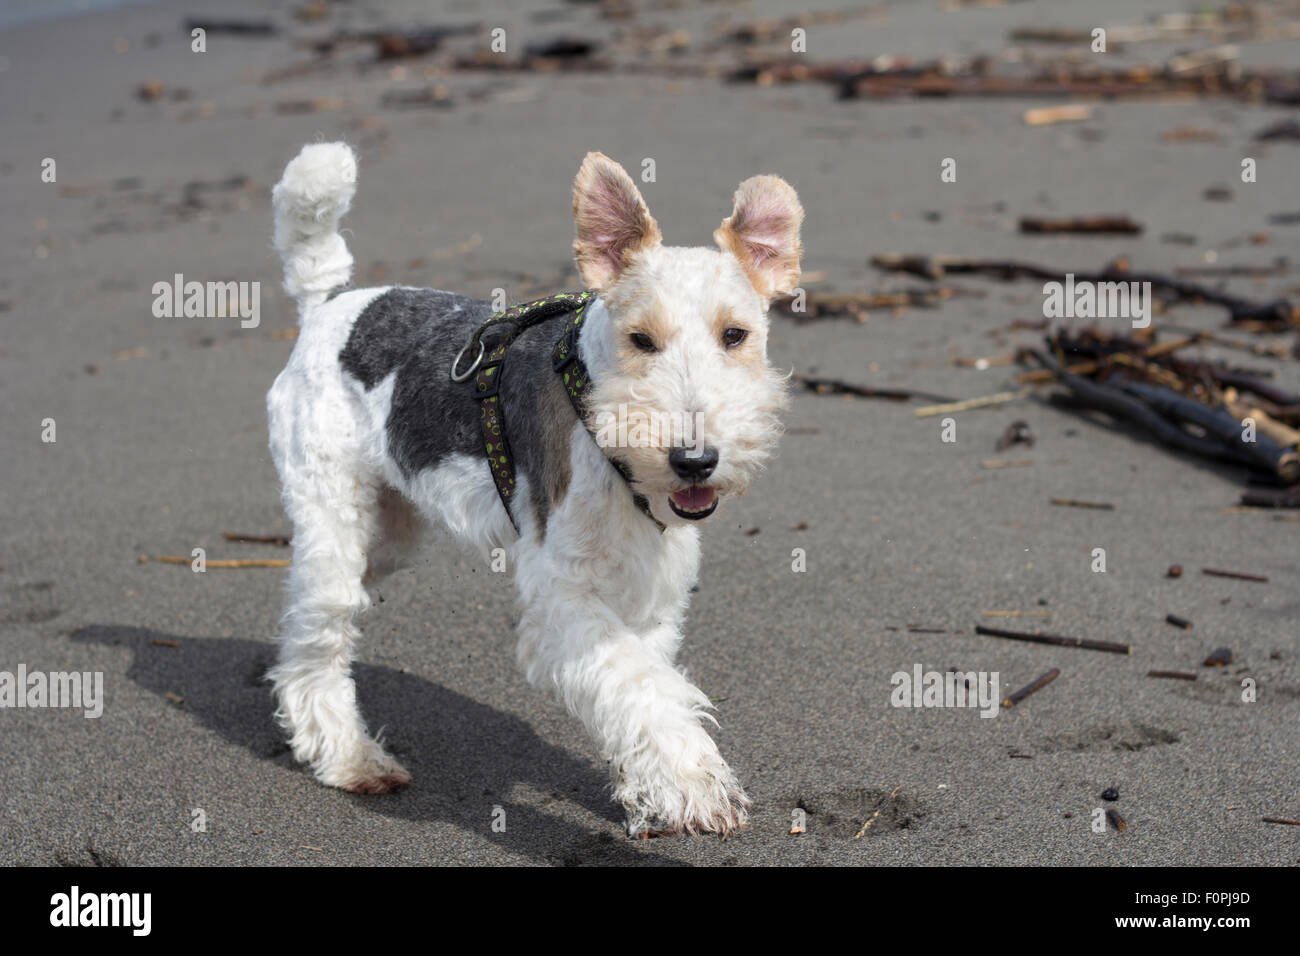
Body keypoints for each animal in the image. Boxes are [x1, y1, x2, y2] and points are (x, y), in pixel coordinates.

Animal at [266, 141, 800, 837]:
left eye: (735, 335)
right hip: (334, 517)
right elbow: (641, 689)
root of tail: (326, 308)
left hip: (388, 533)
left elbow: (642, 687)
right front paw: (695, 786)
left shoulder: (647, 598)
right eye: (641, 339)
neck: (593, 397)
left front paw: (648, 792)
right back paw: (350, 758)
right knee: (319, 635)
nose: (694, 460)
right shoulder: (562, 594)